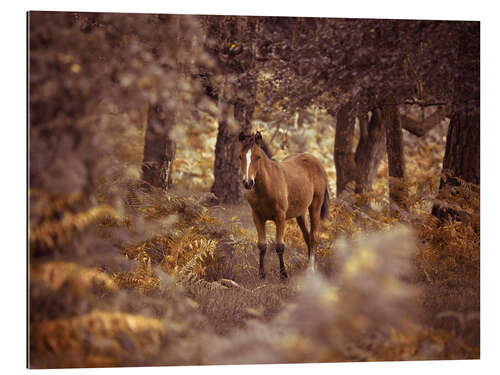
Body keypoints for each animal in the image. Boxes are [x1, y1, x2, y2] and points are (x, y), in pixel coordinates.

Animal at [237, 132, 330, 280]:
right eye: (240, 156)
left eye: (257, 157)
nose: (248, 183)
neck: (266, 187)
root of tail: (316, 161)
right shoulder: (257, 216)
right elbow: (262, 245)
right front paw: (261, 274)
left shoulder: (280, 216)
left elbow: (279, 246)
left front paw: (283, 274)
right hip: (300, 213)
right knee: (307, 237)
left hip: (315, 206)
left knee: (314, 236)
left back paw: (310, 270)